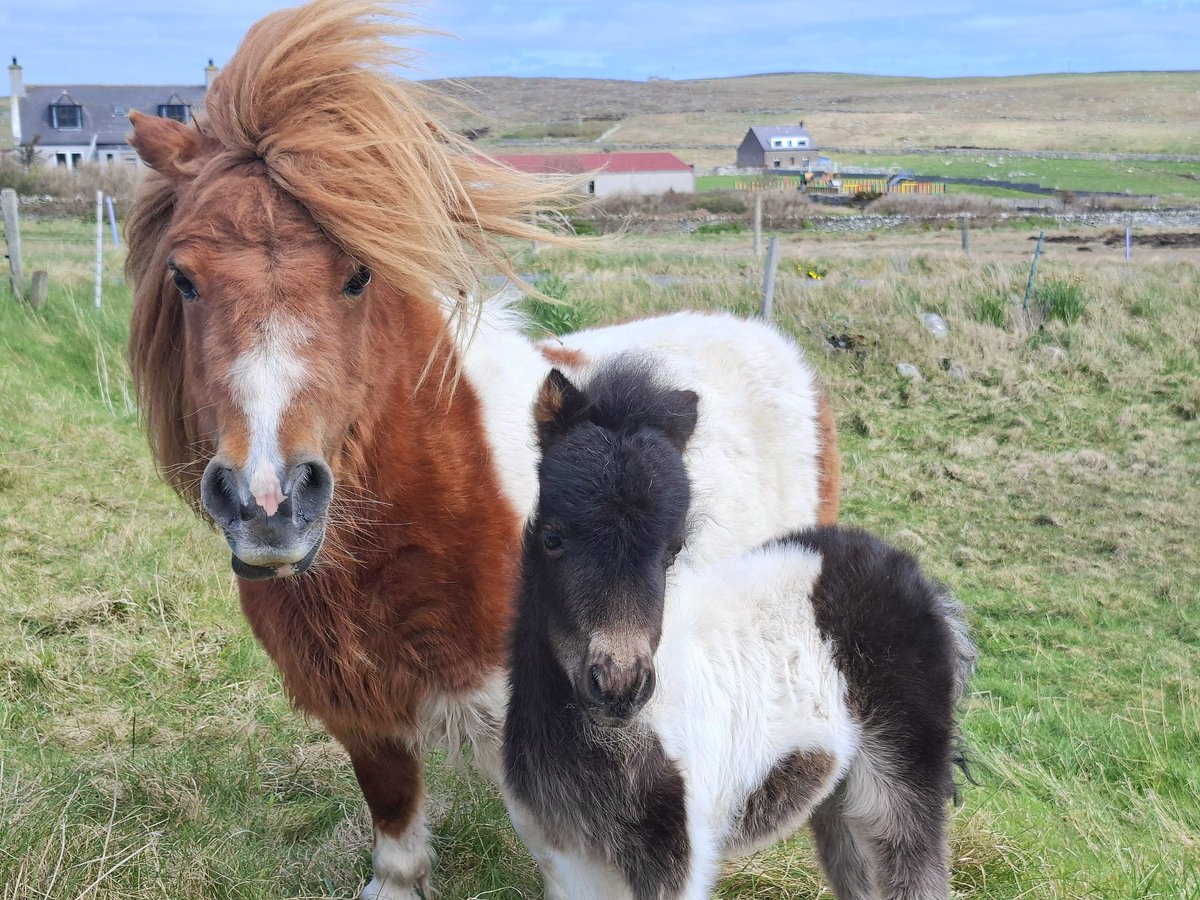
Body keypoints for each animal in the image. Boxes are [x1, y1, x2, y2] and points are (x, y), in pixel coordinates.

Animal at [122, 2, 840, 897]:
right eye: (183, 279)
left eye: (359, 275)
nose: (268, 503)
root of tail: (772, 343)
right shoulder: (359, 704)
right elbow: (393, 809)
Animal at [505, 361, 976, 900]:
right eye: (552, 537)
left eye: (672, 552)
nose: (620, 686)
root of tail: (921, 582)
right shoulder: (565, 861)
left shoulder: (677, 865)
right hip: (840, 796)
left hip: (898, 783)